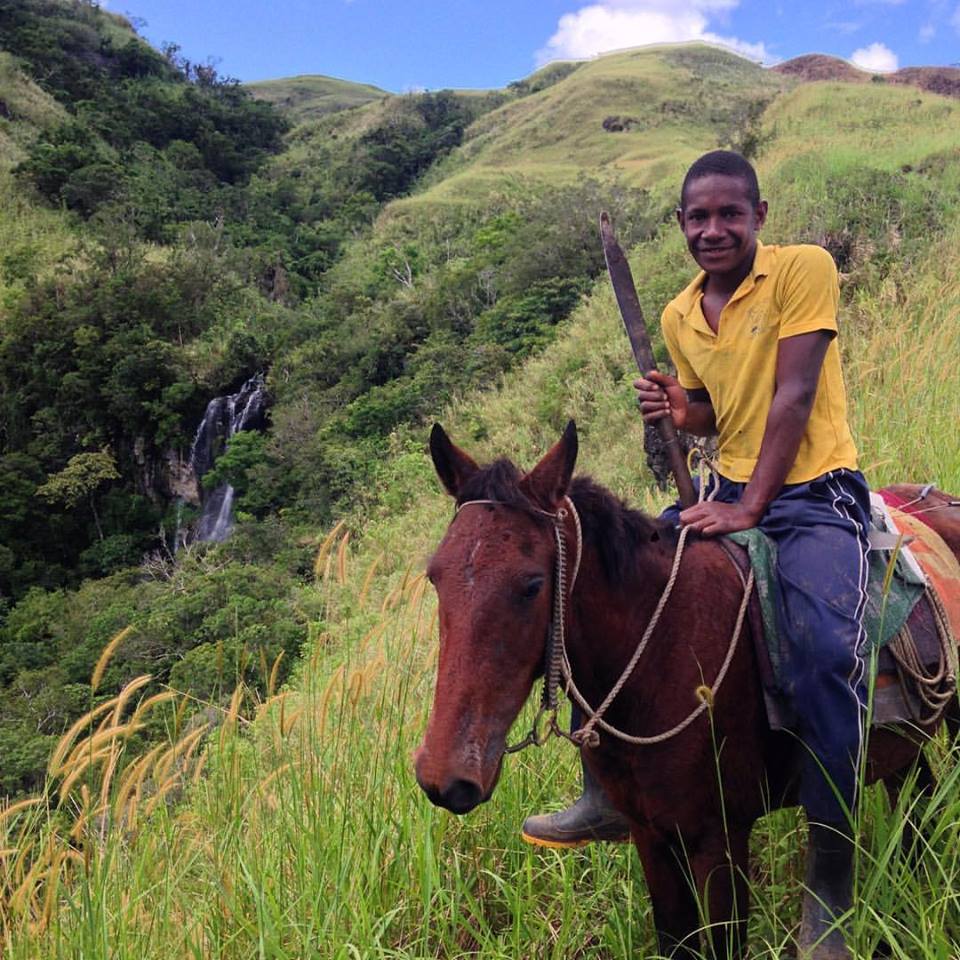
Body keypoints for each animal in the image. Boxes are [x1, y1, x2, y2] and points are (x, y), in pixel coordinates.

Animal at [414, 422, 960, 960]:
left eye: (531, 585)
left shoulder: (718, 837)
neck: (663, 651)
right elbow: (674, 939)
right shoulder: (650, 836)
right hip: (903, 744)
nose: (445, 778)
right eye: (435, 578)